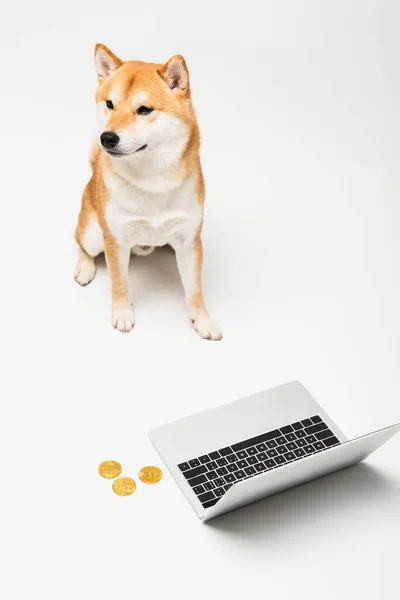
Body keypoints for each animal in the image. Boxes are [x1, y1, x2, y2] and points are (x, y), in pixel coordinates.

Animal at [74, 44, 222, 340]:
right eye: (110, 104)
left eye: (144, 110)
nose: (106, 138)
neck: (153, 181)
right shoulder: (115, 240)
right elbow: (119, 283)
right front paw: (122, 314)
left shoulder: (189, 241)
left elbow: (194, 290)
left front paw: (202, 320)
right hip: (93, 233)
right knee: (82, 245)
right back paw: (85, 267)